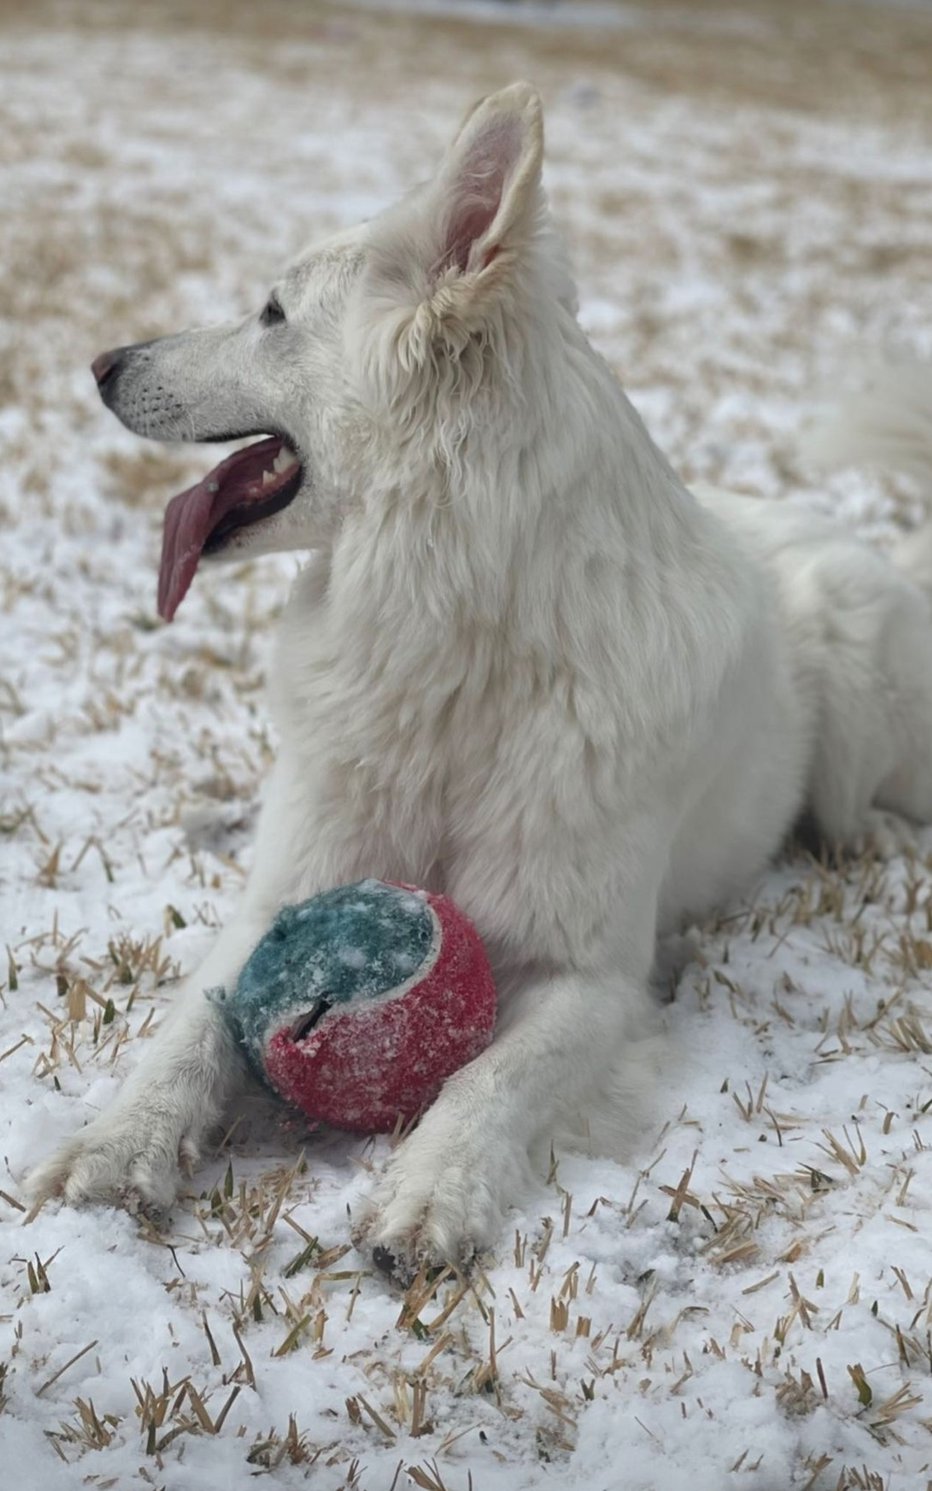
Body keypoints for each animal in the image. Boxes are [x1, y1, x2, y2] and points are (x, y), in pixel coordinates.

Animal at [29, 81, 930, 1276]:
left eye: (271, 312)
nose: (100, 364)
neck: (454, 648)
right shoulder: (278, 896)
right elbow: (189, 1032)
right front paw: (114, 1146)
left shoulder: (588, 976)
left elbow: (491, 1077)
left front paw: (432, 1194)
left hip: (852, 643)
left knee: (861, 805)